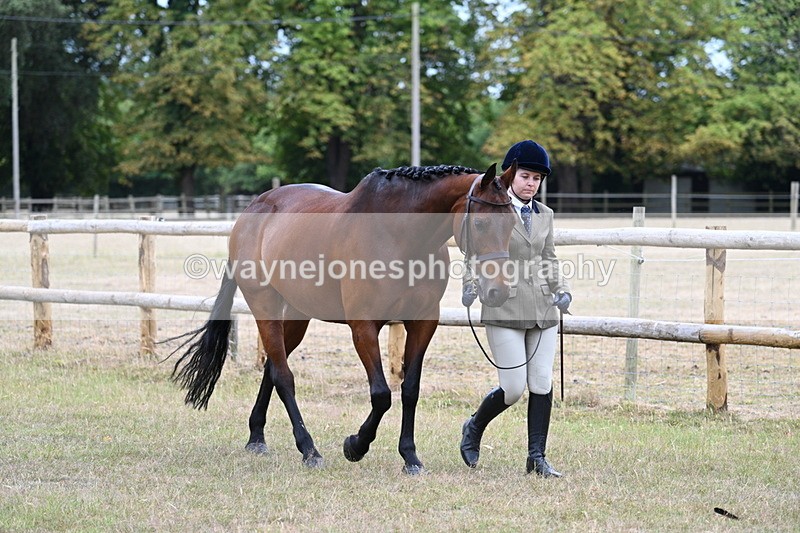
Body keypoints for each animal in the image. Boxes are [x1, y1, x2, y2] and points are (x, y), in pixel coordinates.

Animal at [169, 161, 519, 474]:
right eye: (481, 224)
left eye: (513, 222)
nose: (498, 291)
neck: (398, 237)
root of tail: (252, 211)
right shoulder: (363, 326)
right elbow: (381, 395)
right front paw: (355, 445)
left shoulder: (423, 323)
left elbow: (410, 390)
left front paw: (410, 457)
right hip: (264, 306)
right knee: (283, 376)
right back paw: (309, 450)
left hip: (297, 314)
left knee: (272, 367)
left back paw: (257, 437)